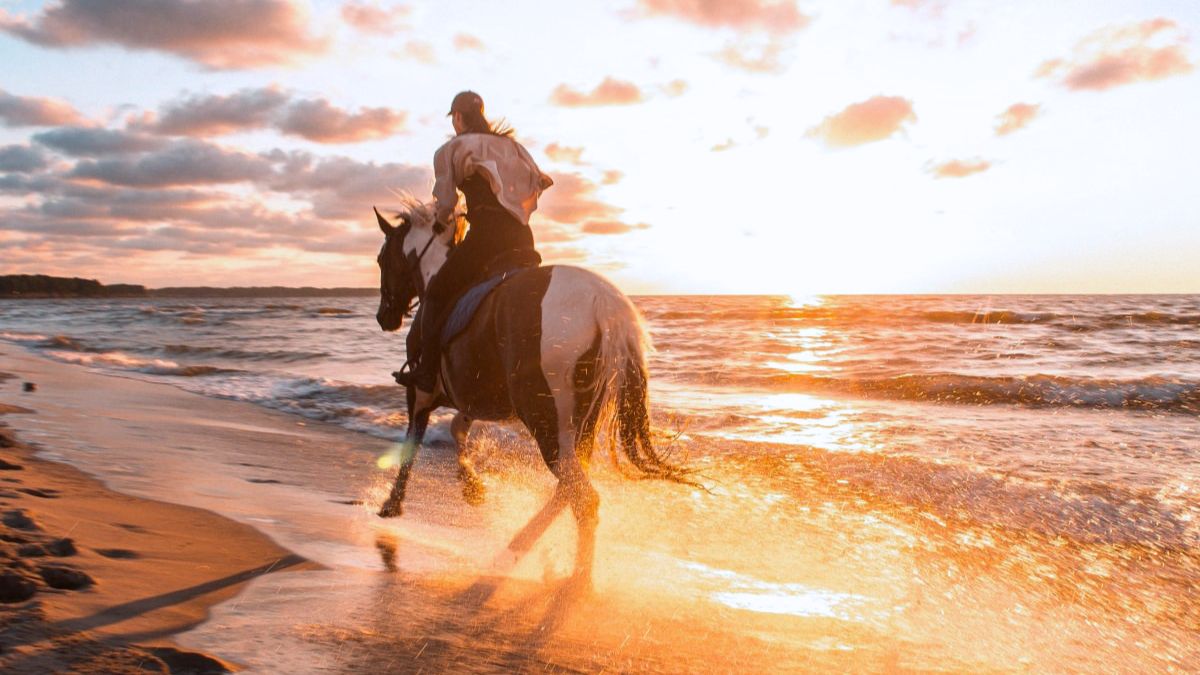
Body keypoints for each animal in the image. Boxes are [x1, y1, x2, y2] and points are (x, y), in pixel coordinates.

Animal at [374, 200, 696, 583]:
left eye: (382, 259)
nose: (384, 317)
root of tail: (601, 300)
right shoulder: (475, 398)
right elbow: (457, 428)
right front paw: (472, 486)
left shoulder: (422, 395)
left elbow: (413, 443)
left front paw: (393, 504)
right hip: (579, 422)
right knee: (569, 487)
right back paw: (525, 546)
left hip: (545, 418)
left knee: (582, 497)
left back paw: (573, 575)